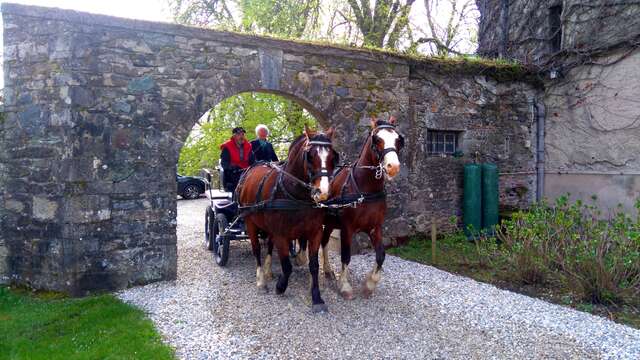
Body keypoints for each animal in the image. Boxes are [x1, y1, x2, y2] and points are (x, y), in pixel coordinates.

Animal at [236, 126, 340, 312]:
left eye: (332, 156)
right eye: (310, 155)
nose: (322, 192)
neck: (295, 195)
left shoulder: (314, 232)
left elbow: (313, 265)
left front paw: (317, 298)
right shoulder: (281, 234)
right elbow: (286, 265)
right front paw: (281, 286)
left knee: (269, 246)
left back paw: (268, 271)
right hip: (250, 221)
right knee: (256, 249)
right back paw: (261, 280)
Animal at [320, 116, 404, 300]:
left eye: (398, 140)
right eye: (377, 139)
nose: (393, 167)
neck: (366, 189)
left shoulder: (375, 227)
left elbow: (381, 255)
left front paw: (370, 284)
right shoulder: (347, 228)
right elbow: (346, 256)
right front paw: (344, 286)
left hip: (329, 222)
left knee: (324, 242)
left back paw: (328, 271)